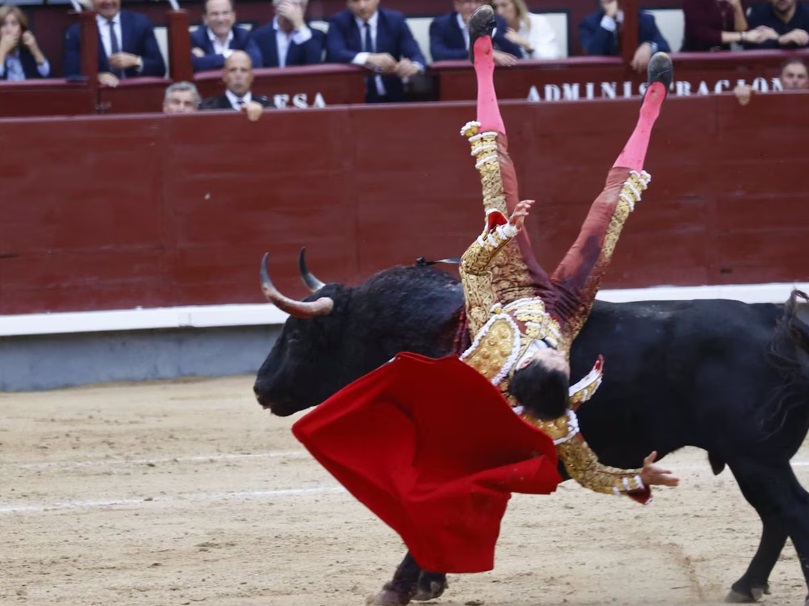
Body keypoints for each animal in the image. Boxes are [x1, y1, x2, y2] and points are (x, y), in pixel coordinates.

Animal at [254, 262, 809, 606]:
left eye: (296, 335)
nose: (260, 388)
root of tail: (775, 321)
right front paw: (429, 582)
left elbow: (425, 514)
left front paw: (399, 588)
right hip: (754, 461)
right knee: (776, 516)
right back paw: (746, 586)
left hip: (756, 458)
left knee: (791, 511)